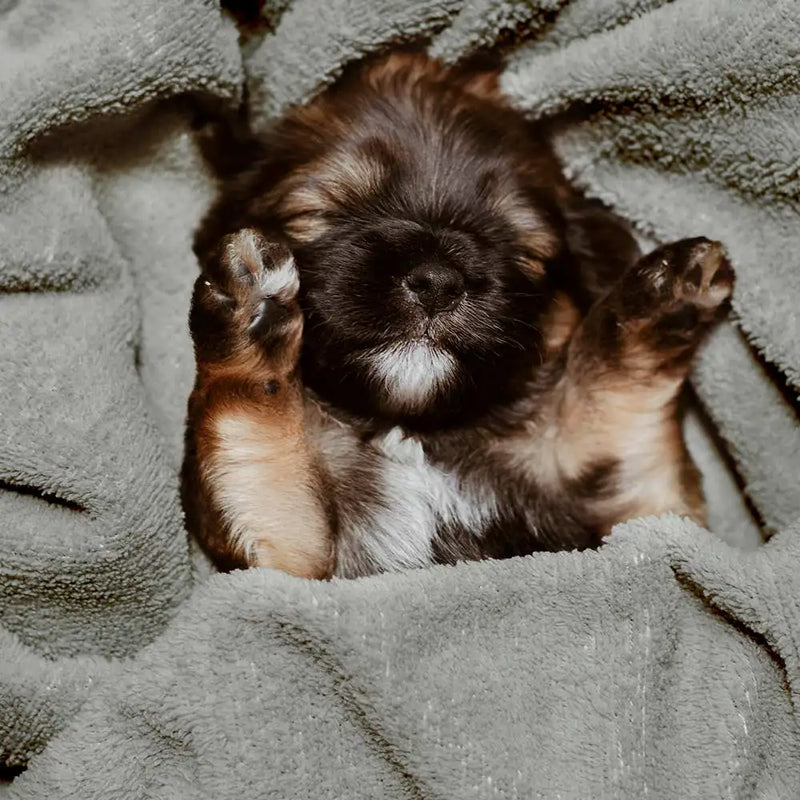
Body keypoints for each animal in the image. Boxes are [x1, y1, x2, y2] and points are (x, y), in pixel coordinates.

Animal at [184, 53, 736, 580]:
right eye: (325, 212)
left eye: (522, 247)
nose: (437, 281)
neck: (414, 435)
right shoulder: (284, 559)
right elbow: (252, 436)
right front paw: (251, 304)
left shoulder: (646, 514)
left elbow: (621, 419)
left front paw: (662, 299)